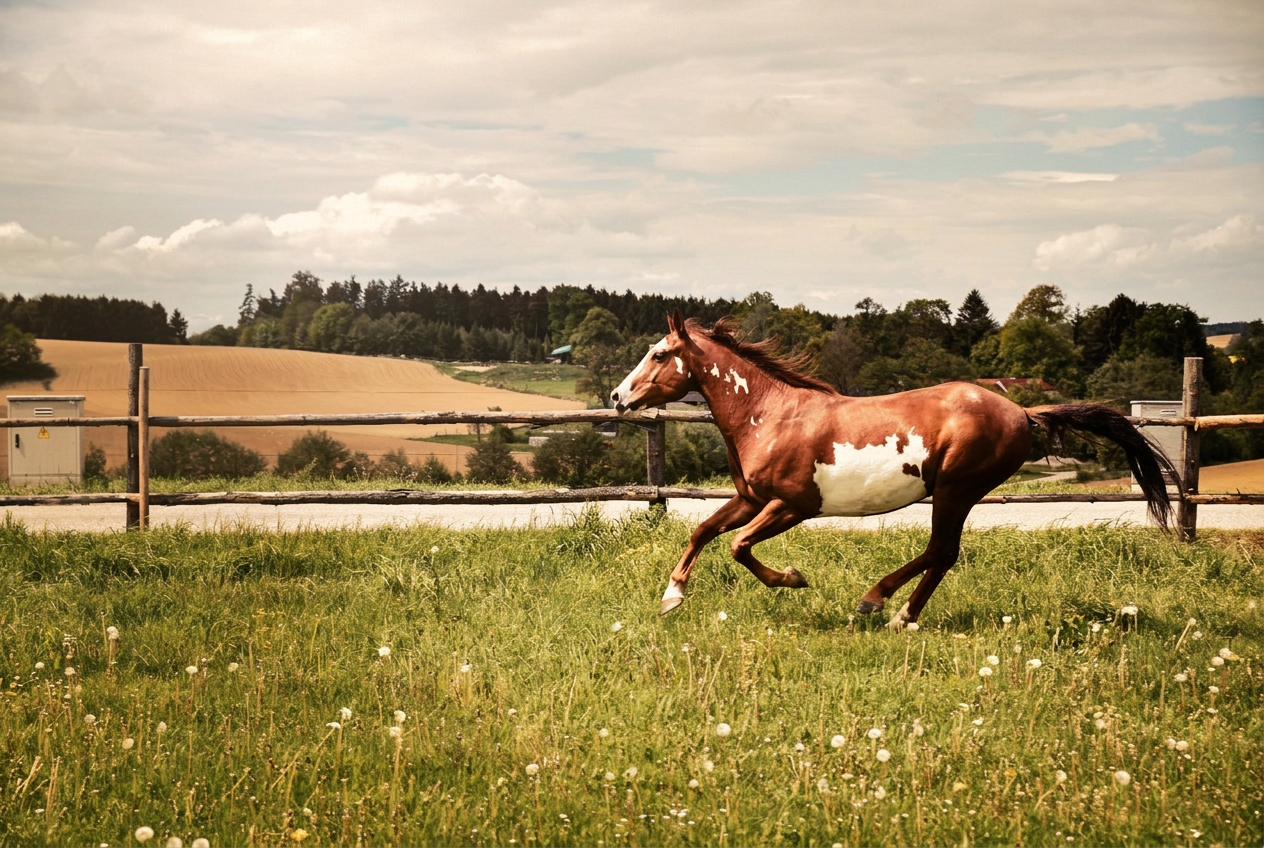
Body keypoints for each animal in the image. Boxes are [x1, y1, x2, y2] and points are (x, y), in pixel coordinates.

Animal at [610, 310, 1179, 627]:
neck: (769, 413)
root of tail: (1021, 411)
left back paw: (881, 605)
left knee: (942, 551)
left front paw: (793, 578)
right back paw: (895, 612)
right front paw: (672, 596)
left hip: (955, 488)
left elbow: (739, 546)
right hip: (955, 493)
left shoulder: (793, 505)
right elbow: (704, 531)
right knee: (942, 553)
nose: (617, 397)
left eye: (658, 354)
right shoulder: (752, 497)